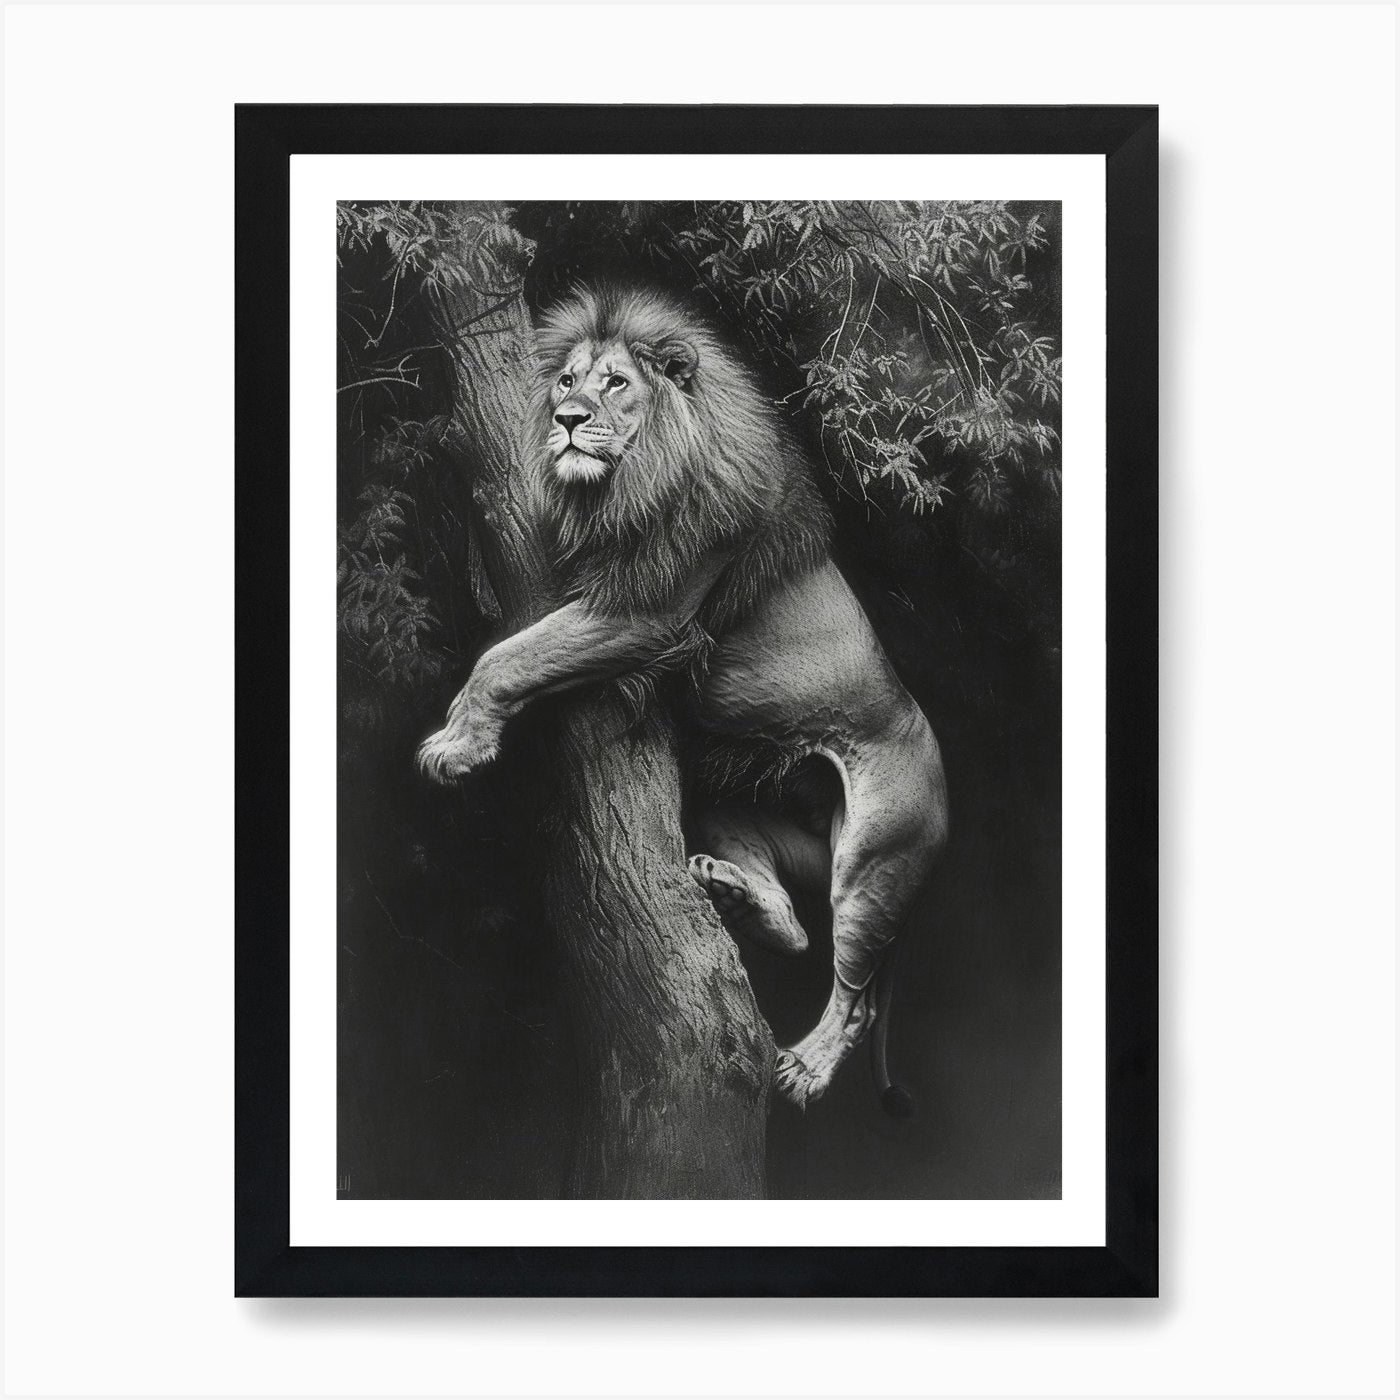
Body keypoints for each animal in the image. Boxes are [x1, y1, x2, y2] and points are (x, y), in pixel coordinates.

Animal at [417, 284, 949, 1112]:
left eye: (615, 384)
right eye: (566, 380)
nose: (566, 421)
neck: (630, 480)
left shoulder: (648, 608)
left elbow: (507, 658)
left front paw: (456, 747)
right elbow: (503, 620)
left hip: (874, 862)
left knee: (854, 992)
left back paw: (807, 1067)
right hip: (746, 813)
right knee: (795, 925)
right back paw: (729, 892)